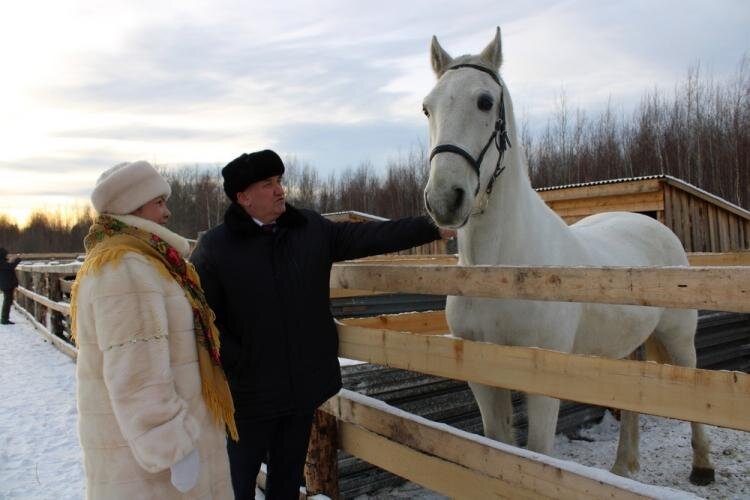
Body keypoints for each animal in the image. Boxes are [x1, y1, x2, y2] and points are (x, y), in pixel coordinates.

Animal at [424, 27, 716, 484]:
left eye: (485, 101)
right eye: (427, 108)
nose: (443, 199)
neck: (501, 269)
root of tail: (654, 226)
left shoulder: (542, 382)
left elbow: (537, 454)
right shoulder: (483, 378)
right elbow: (498, 448)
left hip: (678, 338)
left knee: (693, 389)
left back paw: (702, 467)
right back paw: (623, 466)